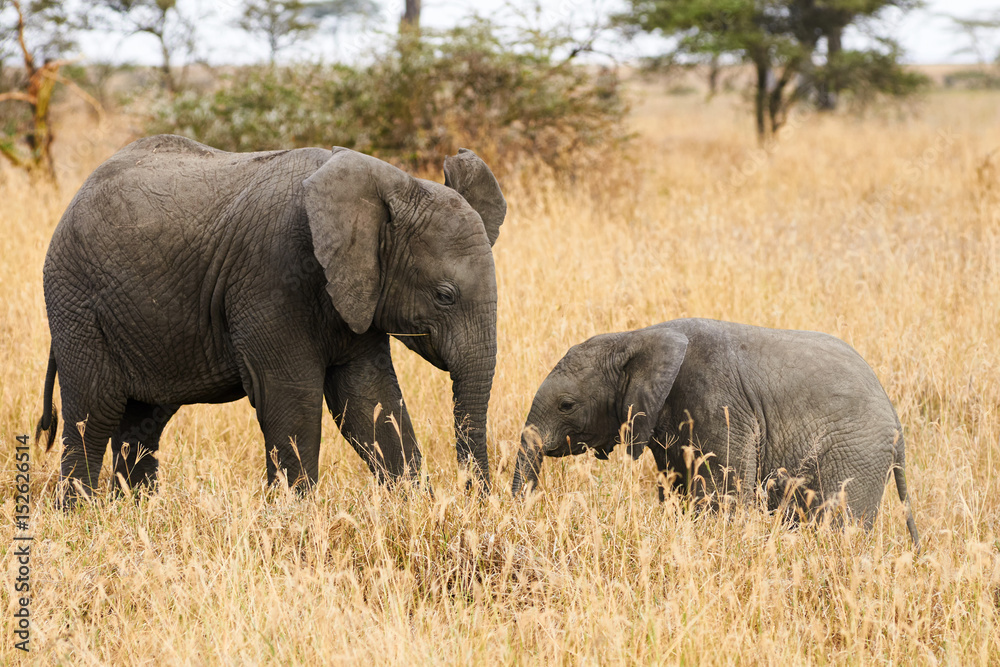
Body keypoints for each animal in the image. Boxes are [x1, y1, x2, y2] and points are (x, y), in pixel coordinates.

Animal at [35, 134, 506, 503]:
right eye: (444, 296)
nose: (474, 496)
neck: (392, 186)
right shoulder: (273, 275)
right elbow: (292, 400)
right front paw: (297, 520)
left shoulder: (358, 293)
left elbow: (369, 401)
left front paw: (416, 509)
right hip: (76, 300)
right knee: (94, 412)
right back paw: (80, 517)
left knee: (142, 422)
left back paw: (137, 512)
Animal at [512, 318, 920, 548]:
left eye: (567, 405)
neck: (637, 337)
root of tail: (897, 426)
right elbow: (678, 490)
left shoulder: (717, 404)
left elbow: (721, 498)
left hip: (854, 454)